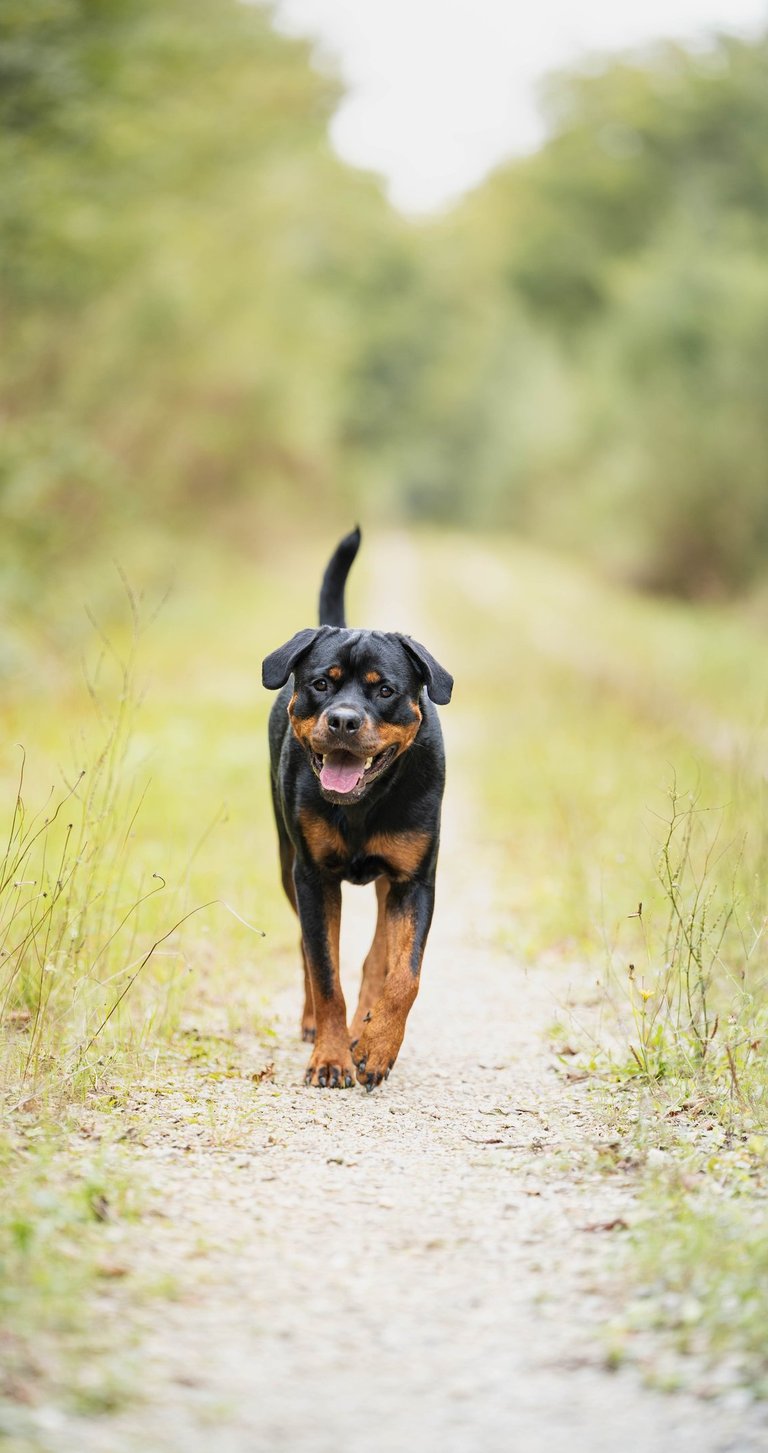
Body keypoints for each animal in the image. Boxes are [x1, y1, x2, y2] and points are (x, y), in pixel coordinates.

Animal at [262, 527, 452, 1090]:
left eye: (385, 689)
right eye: (321, 683)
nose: (344, 720)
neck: (364, 804)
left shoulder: (417, 881)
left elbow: (404, 974)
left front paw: (375, 1047)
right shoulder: (312, 877)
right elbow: (325, 971)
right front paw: (330, 1056)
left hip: (392, 878)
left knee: (378, 955)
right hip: (286, 862)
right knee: (309, 952)